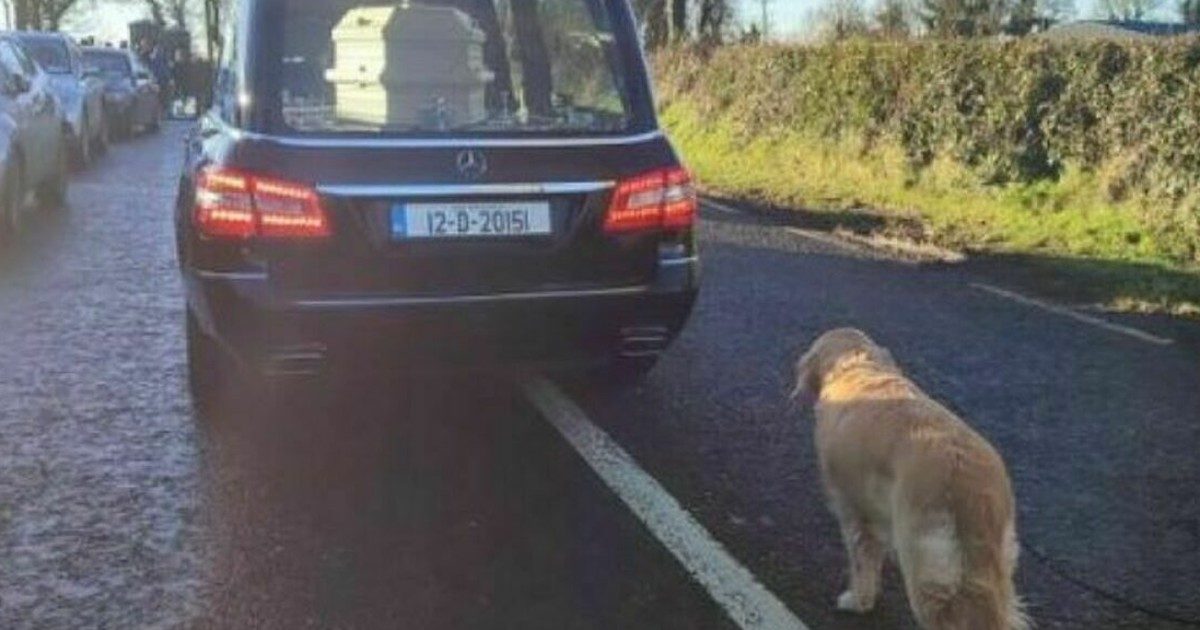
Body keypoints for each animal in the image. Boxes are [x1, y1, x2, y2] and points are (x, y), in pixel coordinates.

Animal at [792, 328, 1027, 628]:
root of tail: (970, 484)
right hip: (997, 564)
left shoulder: (853, 511)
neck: (859, 367)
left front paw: (857, 601)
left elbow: (862, 562)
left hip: (924, 560)